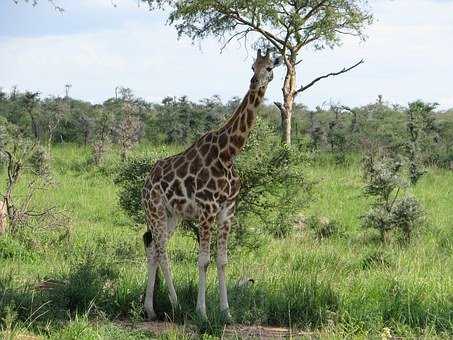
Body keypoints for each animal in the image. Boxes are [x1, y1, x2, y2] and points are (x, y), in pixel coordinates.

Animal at [141, 48, 282, 322]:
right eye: (252, 66)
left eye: (269, 67)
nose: (254, 82)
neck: (228, 152)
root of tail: (146, 182)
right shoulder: (207, 210)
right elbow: (203, 261)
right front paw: (202, 313)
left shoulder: (228, 210)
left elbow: (222, 260)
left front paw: (226, 312)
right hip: (155, 209)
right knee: (162, 250)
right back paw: (174, 304)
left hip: (173, 215)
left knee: (154, 247)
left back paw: (151, 309)